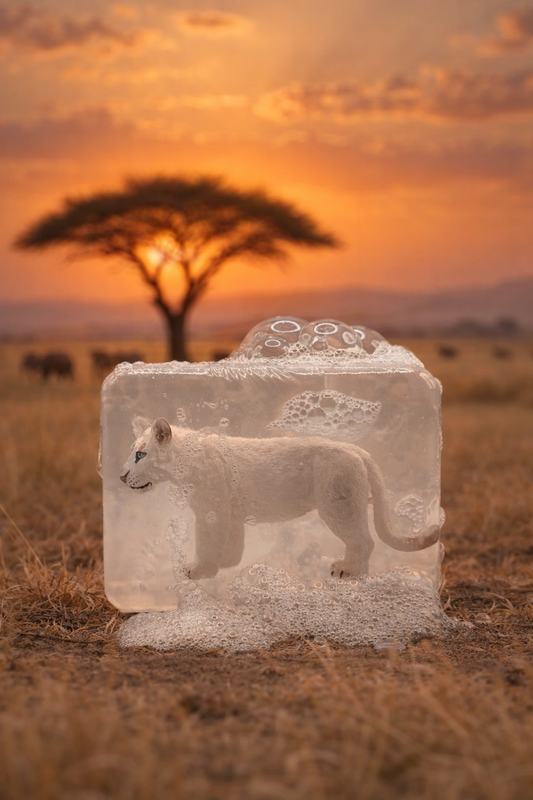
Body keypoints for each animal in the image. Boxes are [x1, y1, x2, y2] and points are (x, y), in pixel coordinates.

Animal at [120, 417, 440, 580]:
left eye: (140, 454)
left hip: (338, 505)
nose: (121, 477)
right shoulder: (228, 513)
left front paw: (198, 571)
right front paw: (227, 563)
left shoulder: (211, 512)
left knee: (363, 540)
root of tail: (356, 449)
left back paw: (348, 571)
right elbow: (232, 543)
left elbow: (207, 543)